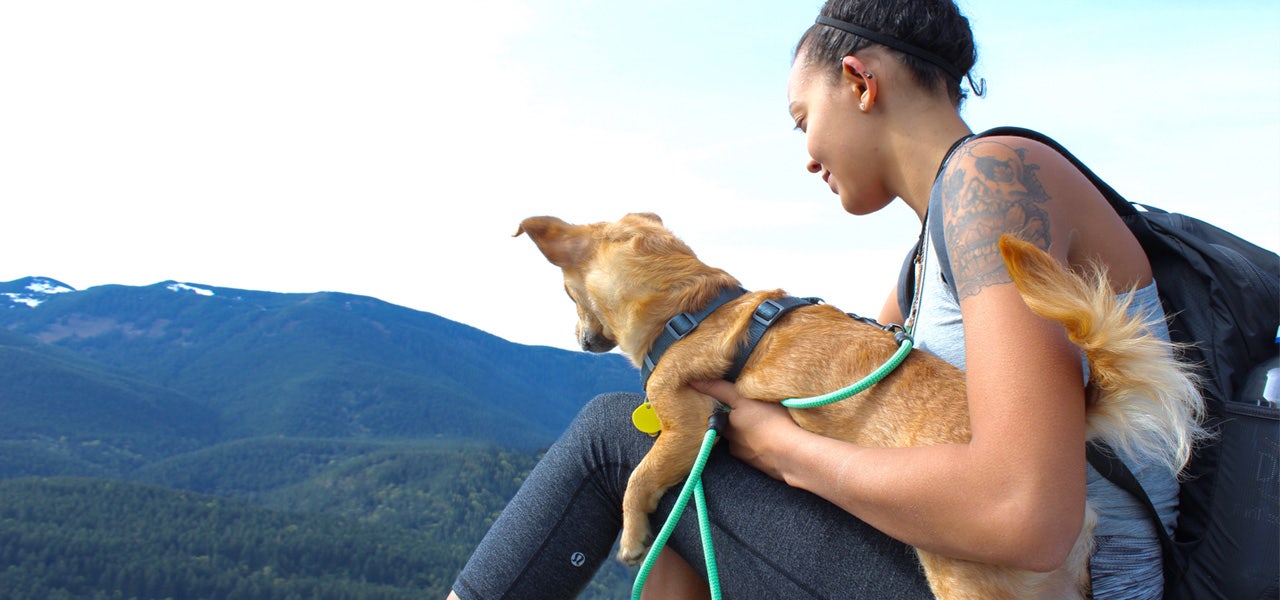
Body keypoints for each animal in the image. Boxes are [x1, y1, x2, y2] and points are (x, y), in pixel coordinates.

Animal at [509, 212, 1198, 596]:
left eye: (568, 296)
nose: (581, 339)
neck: (693, 305)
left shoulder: (684, 431)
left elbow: (637, 479)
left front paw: (631, 540)